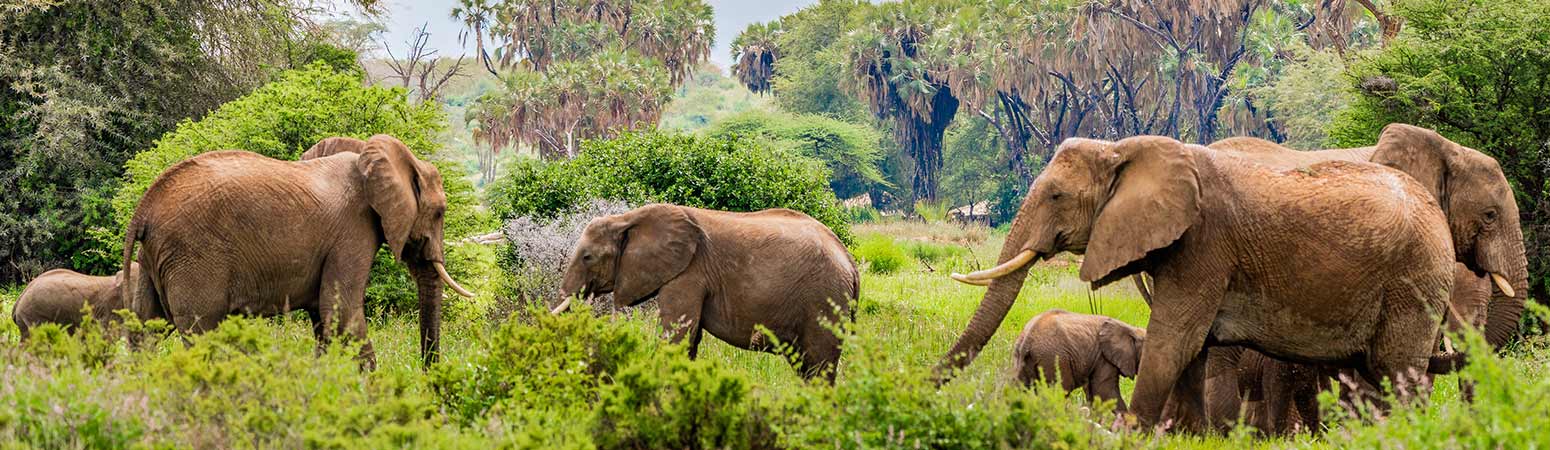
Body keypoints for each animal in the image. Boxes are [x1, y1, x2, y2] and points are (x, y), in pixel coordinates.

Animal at [117, 133, 471, 369]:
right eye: (440, 212)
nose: (428, 375)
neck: (366, 155)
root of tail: (144, 208)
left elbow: (324, 319)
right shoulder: (352, 232)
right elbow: (341, 312)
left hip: (154, 259)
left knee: (147, 330)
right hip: (193, 255)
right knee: (201, 332)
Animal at [548, 203, 868, 383]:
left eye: (587, 257)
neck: (628, 218)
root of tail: (850, 263)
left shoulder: (688, 273)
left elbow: (678, 336)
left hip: (824, 299)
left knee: (818, 365)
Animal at [1010, 308, 1147, 412]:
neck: (1131, 329)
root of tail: (1028, 339)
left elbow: (1093, 393)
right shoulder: (1104, 358)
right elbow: (1104, 391)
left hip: (1021, 358)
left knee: (1019, 388)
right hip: (1054, 357)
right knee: (1060, 391)